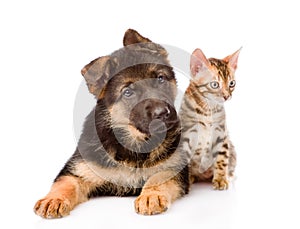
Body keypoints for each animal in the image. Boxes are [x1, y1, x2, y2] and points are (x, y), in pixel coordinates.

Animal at [34, 29, 189, 218]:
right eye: (128, 92)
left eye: (160, 79)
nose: (162, 113)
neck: (135, 143)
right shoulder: (79, 170)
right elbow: (66, 182)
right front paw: (53, 199)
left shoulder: (174, 168)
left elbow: (158, 178)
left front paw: (150, 196)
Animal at [179, 47, 240, 190]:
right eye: (215, 85)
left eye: (232, 83)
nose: (226, 96)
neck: (207, 110)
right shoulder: (187, 134)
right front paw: (186, 181)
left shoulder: (221, 134)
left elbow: (222, 158)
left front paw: (221, 179)